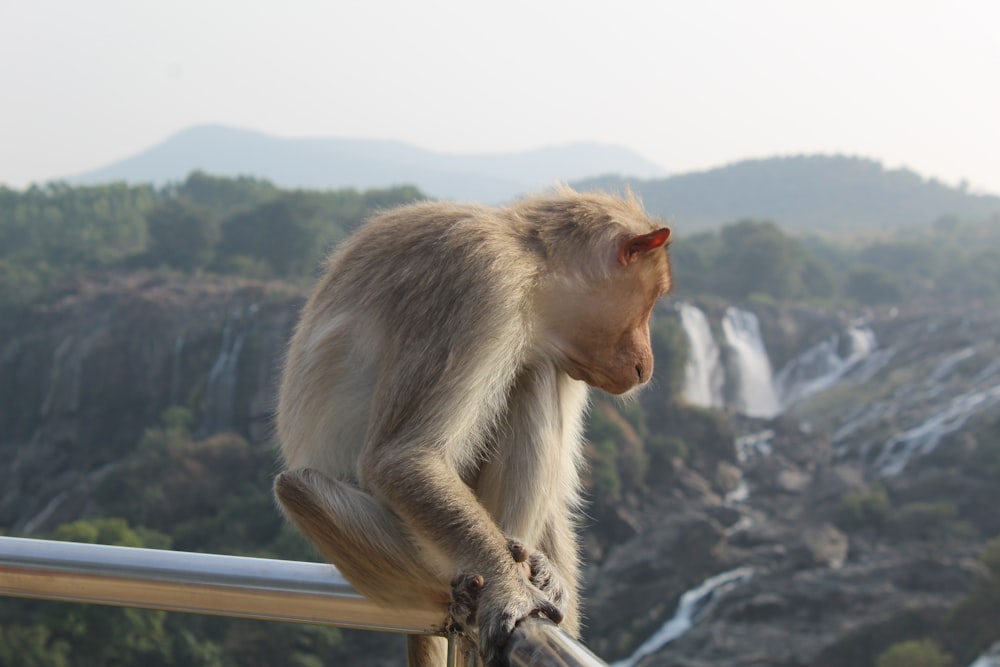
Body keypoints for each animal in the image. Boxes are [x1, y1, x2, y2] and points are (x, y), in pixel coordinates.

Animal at [274, 185, 672, 664]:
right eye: (652, 300)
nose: (646, 366)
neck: (531, 265)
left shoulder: (564, 349)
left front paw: (545, 578)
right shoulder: (482, 280)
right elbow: (404, 458)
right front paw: (508, 586)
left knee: (533, 374)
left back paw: (526, 558)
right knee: (297, 489)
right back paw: (478, 582)